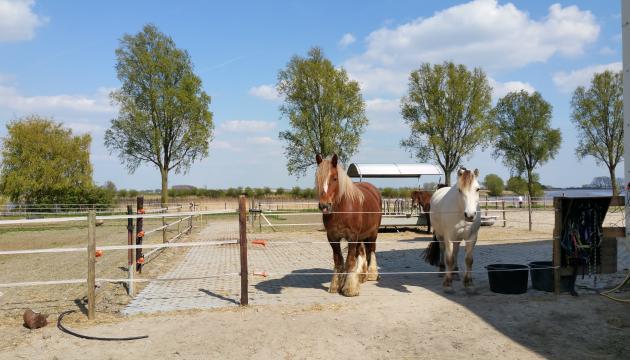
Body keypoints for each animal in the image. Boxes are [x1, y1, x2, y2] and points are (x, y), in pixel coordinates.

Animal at [318, 153, 382, 296]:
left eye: (335, 178)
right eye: (317, 178)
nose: (324, 205)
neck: (343, 209)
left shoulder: (352, 237)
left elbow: (350, 261)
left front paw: (350, 288)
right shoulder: (332, 237)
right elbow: (338, 260)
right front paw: (336, 286)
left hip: (373, 233)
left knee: (371, 250)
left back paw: (371, 274)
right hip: (361, 235)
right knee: (362, 252)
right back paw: (361, 276)